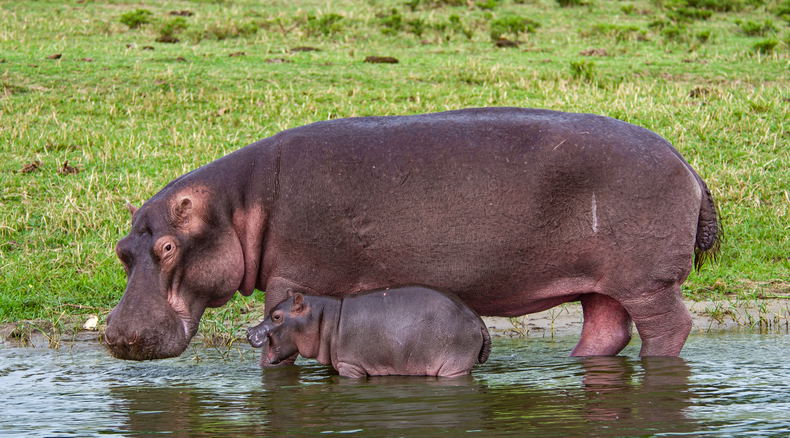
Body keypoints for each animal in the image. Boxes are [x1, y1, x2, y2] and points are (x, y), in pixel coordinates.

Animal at [105, 107, 720, 361]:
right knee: (605, 330)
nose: (116, 335)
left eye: (167, 246)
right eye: (122, 250)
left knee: (669, 328)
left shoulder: (292, 279)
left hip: (647, 281)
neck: (236, 208)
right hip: (602, 281)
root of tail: (687, 163)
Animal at [247, 286, 491, 377]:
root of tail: (478, 320)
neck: (324, 318)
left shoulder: (350, 366)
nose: (249, 331)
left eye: (277, 316)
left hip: (453, 367)